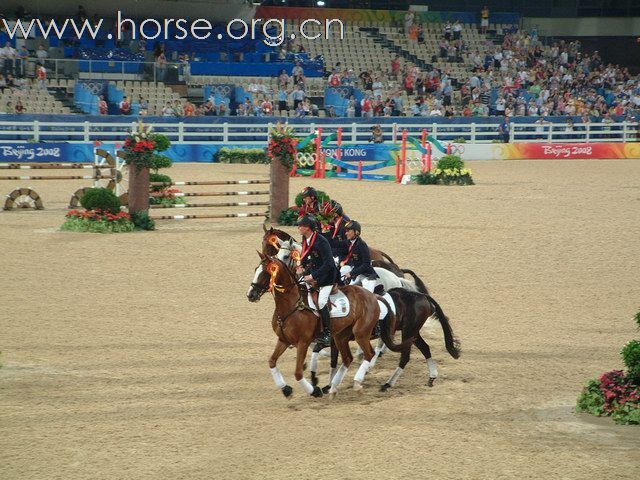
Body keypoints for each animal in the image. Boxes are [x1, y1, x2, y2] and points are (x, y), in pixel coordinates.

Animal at [246, 256, 410, 400]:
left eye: (267, 272)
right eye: (255, 269)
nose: (251, 294)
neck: (291, 305)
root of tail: (372, 295)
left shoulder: (303, 342)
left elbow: (298, 373)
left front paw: (314, 391)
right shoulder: (284, 340)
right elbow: (272, 362)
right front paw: (286, 390)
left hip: (360, 333)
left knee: (369, 354)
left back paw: (356, 384)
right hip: (340, 336)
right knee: (347, 358)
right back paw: (333, 388)